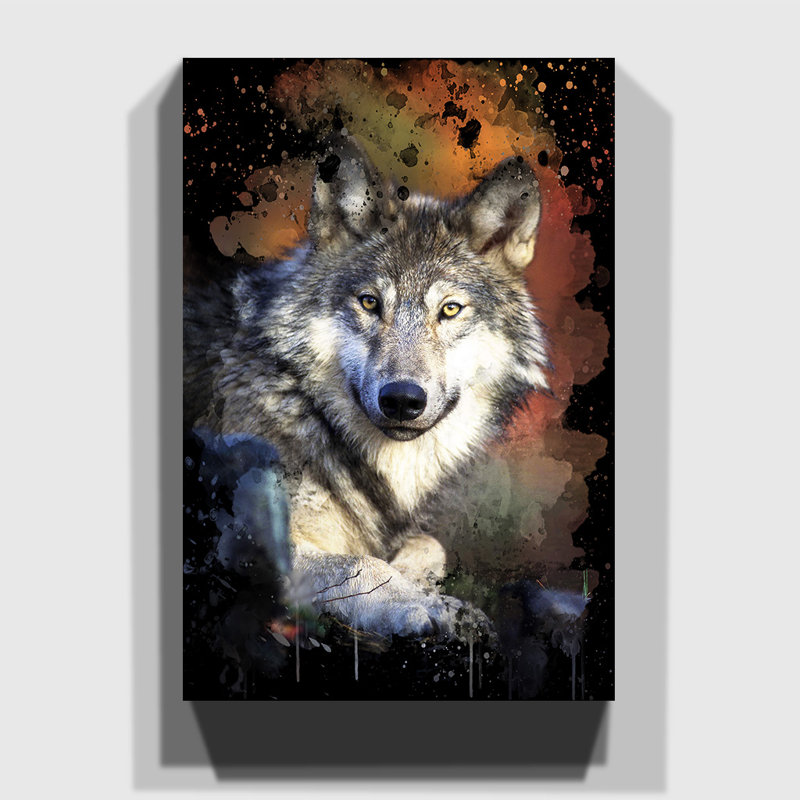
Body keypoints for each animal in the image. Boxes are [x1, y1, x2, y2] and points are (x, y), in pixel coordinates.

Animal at [185, 135, 550, 640]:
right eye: (370, 302)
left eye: (450, 309)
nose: (402, 399)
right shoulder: (245, 544)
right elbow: (361, 565)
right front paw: (425, 605)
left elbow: (429, 546)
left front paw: (419, 580)